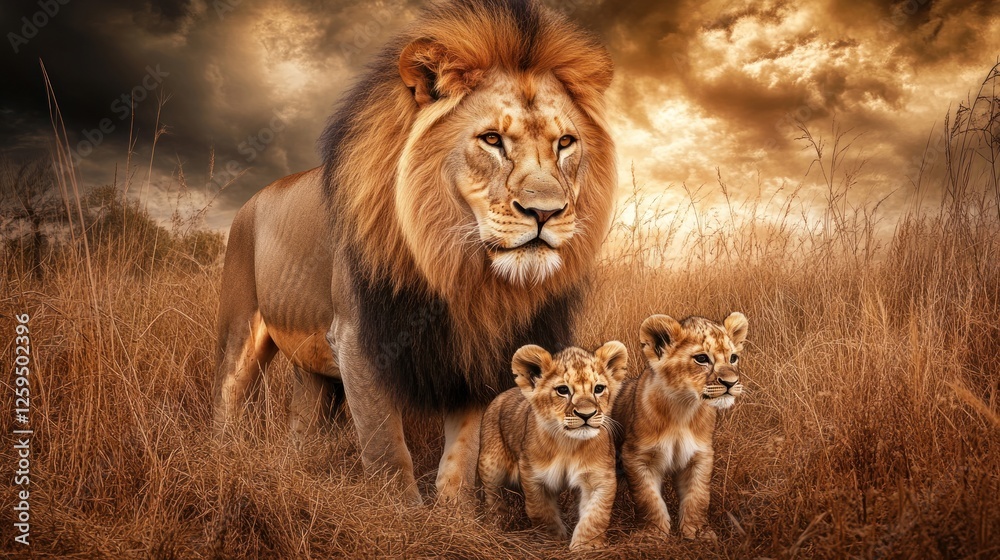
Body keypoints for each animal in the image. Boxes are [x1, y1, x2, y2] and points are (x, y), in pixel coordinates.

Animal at [213, 0, 616, 507]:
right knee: (226, 400)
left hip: (312, 366)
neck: (461, 270)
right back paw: (218, 460)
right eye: (491, 139)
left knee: (301, 424)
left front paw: (455, 512)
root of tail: (253, 199)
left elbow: (463, 449)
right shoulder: (359, 340)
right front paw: (399, 513)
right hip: (240, 326)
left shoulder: (472, 348)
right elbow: (386, 445)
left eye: (565, 143)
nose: (546, 212)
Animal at [478, 342, 628, 550]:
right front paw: (552, 540)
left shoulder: (599, 477)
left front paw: (586, 546)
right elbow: (541, 512)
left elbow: (595, 516)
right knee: (493, 498)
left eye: (599, 388)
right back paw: (495, 528)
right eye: (563, 390)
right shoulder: (533, 476)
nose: (587, 414)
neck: (568, 444)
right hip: (491, 466)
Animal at [612, 313, 748, 540]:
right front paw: (653, 534)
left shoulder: (700, 455)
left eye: (733, 358)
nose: (731, 382)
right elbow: (648, 498)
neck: (683, 410)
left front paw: (697, 532)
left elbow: (698, 496)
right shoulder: (636, 456)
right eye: (701, 359)